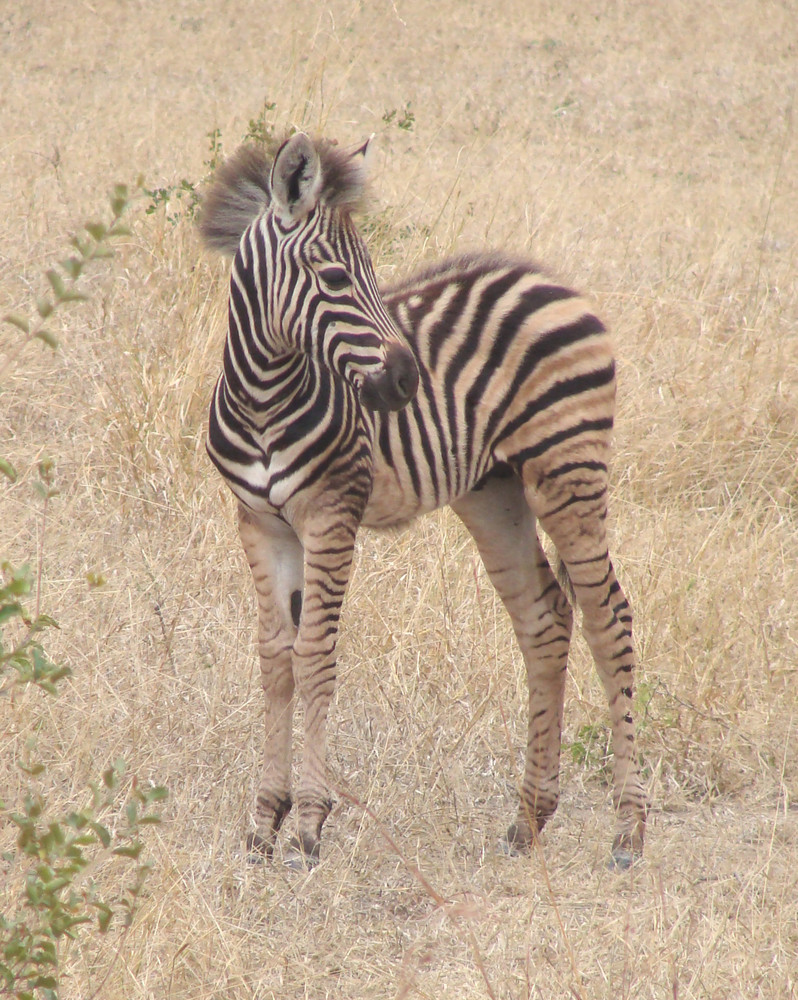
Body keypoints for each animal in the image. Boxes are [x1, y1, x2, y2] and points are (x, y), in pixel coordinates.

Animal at [200, 131, 648, 868]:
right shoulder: (258, 521)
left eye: (372, 273)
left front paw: (309, 825)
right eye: (334, 279)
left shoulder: (332, 514)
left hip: (567, 467)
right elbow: (274, 658)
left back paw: (629, 830)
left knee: (607, 618)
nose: (407, 381)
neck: (265, 396)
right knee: (545, 619)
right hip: (494, 493)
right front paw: (263, 821)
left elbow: (315, 653)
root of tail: (554, 283)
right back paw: (528, 820)